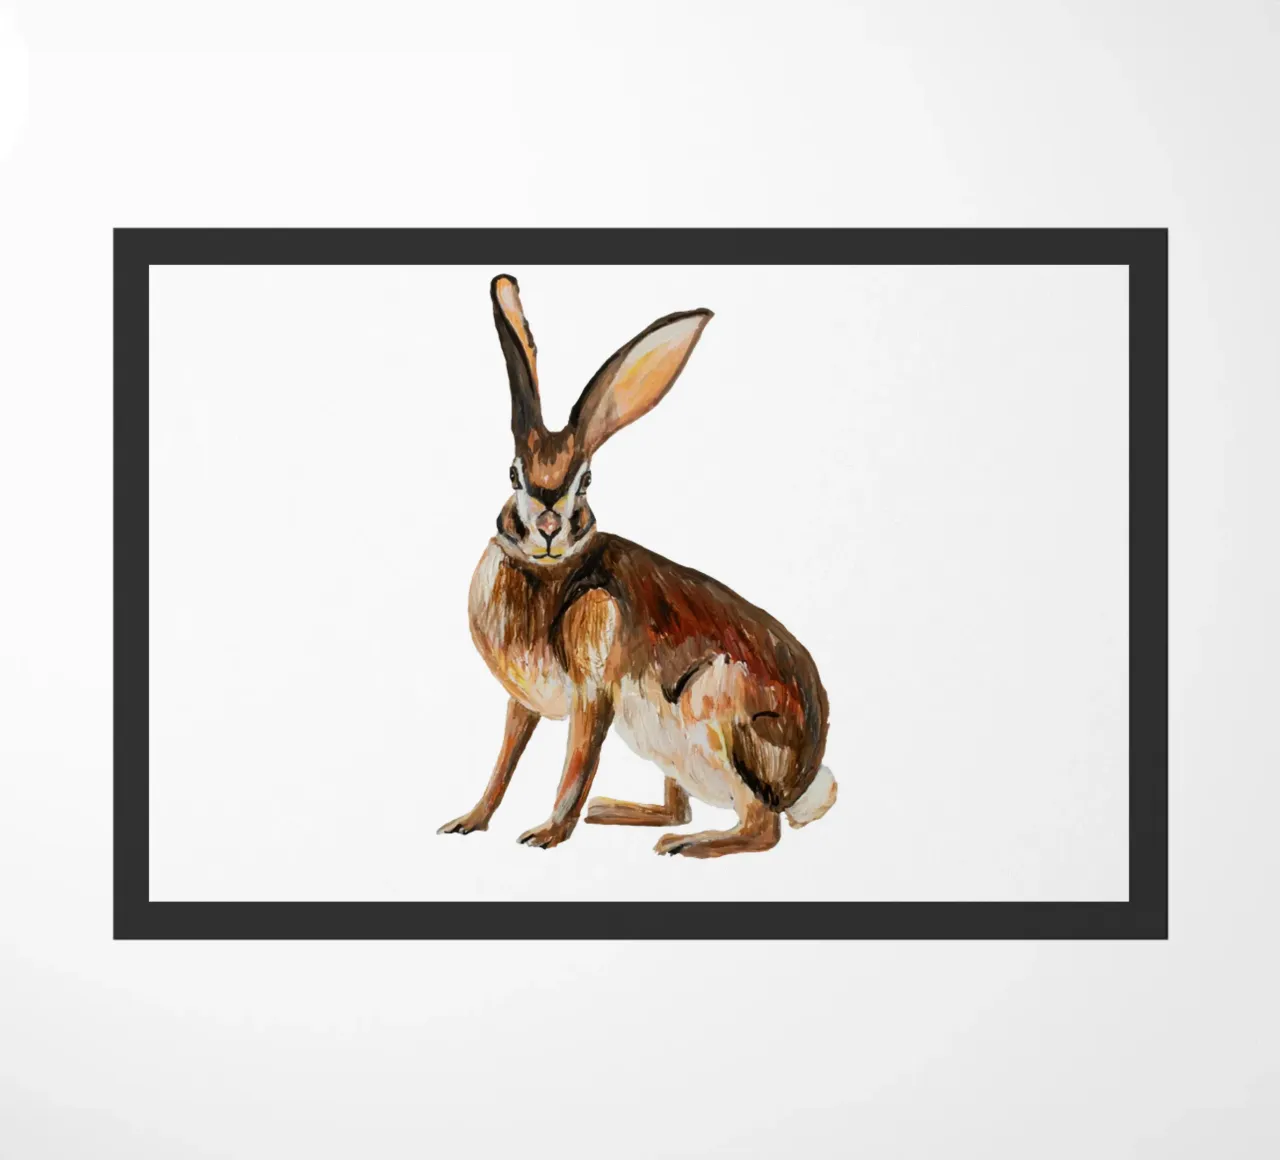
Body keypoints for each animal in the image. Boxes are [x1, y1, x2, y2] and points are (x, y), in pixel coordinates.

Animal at [438, 275, 836, 857]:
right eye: (513, 475)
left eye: (585, 481)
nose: (549, 527)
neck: (549, 571)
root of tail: (803, 781)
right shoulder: (521, 703)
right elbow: (504, 763)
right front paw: (468, 821)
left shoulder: (594, 693)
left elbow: (576, 765)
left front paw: (546, 834)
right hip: (665, 745)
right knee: (683, 804)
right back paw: (616, 811)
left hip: (713, 709)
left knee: (761, 826)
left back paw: (687, 844)